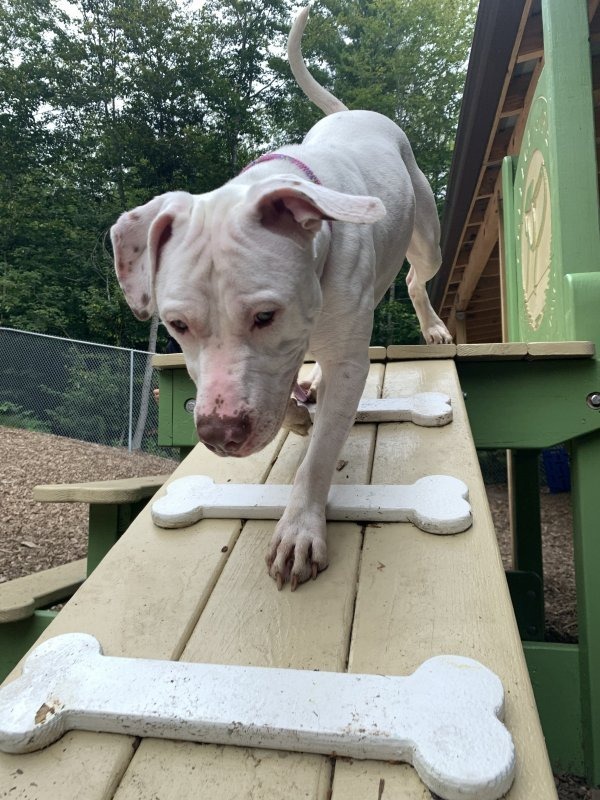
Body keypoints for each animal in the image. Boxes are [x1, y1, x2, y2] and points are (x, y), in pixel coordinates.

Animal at [111, 6, 450, 592]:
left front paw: (299, 530)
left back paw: (431, 329)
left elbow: (320, 453)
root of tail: (358, 113)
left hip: (427, 237)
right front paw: (298, 414)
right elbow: (291, 403)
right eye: (177, 326)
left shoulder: (346, 362)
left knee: (414, 277)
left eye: (266, 315)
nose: (219, 434)